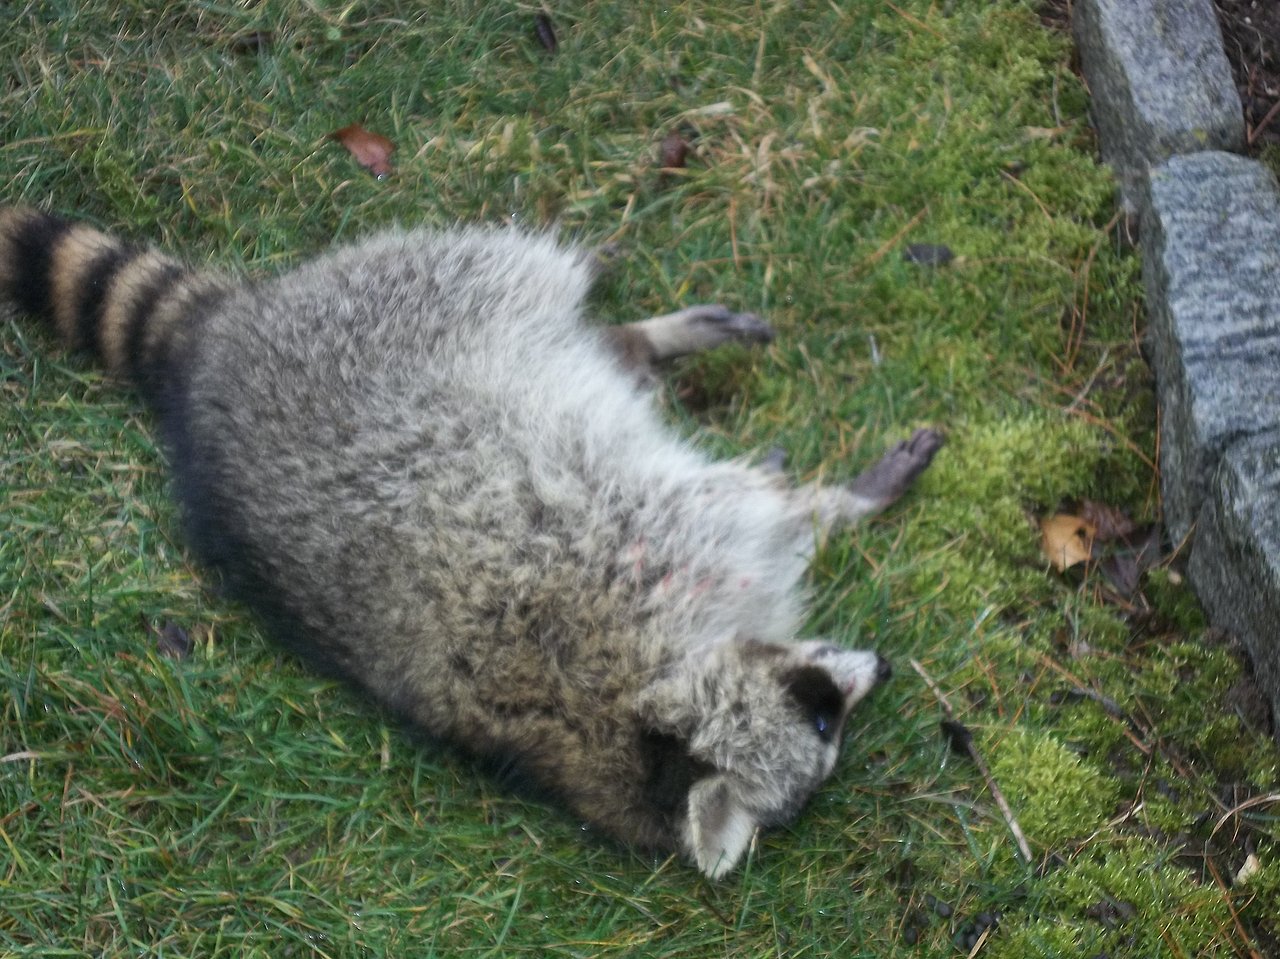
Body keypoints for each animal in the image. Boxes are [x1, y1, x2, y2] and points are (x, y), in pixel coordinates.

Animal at [0, 206, 942, 878]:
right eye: (822, 713)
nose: (885, 666)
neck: (639, 727)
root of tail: (219, 339)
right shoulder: (653, 547)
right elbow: (766, 508)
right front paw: (848, 497)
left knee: (584, 342)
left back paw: (631, 341)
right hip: (415, 294)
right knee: (522, 267)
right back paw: (630, 315)